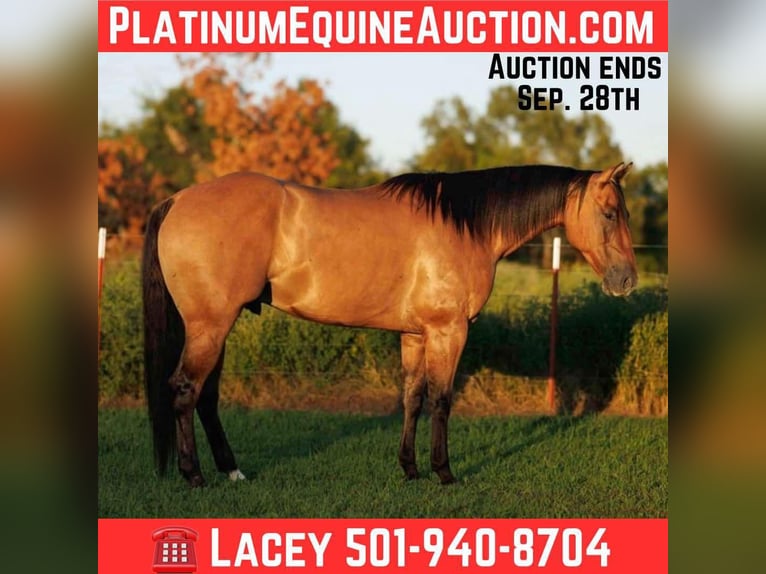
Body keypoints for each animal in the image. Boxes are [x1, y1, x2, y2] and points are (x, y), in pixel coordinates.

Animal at [142, 162, 637, 487]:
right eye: (610, 213)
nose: (627, 280)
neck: (465, 225)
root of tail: (176, 200)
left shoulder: (415, 336)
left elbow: (412, 398)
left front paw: (410, 468)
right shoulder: (448, 332)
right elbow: (441, 400)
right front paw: (444, 472)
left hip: (214, 326)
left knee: (206, 396)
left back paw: (232, 471)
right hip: (210, 325)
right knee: (185, 389)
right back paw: (194, 476)